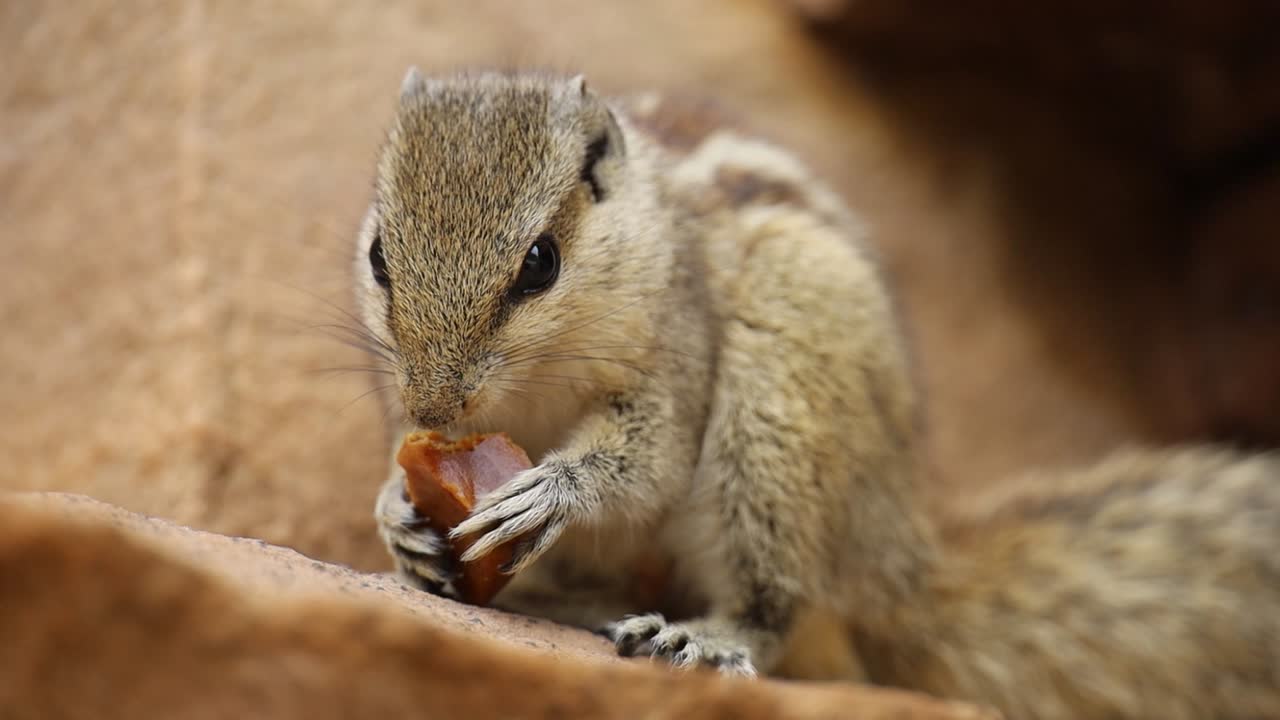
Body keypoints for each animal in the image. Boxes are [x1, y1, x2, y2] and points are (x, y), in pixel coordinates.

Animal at [353, 69, 1280, 719]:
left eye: (540, 262)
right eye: (378, 256)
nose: (435, 408)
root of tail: (902, 565)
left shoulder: (677, 352)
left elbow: (647, 460)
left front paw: (549, 492)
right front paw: (397, 510)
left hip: (779, 409)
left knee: (779, 608)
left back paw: (700, 637)